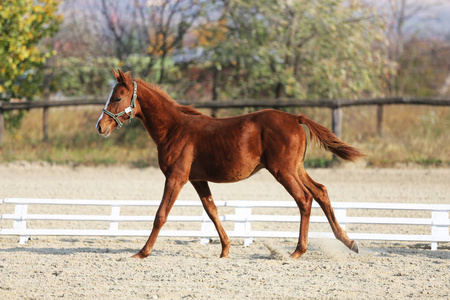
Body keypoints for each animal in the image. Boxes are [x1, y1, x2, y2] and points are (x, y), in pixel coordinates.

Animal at [96, 69, 364, 258]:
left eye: (117, 97)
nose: (100, 127)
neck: (174, 129)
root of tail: (295, 117)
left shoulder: (176, 177)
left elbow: (161, 214)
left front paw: (142, 252)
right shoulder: (198, 180)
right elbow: (212, 211)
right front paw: (225, 250)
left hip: (283, 171)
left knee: (304, 199)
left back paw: (298, 251)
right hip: (296, 168)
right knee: (320, 191)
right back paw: (349, 241)